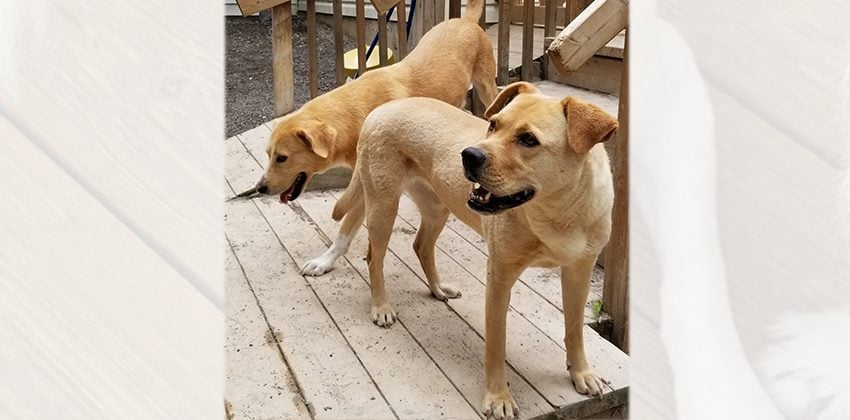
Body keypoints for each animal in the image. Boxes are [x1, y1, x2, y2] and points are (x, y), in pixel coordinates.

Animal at [250, 0, 496, 278]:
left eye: (281, 158)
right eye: (268, 155)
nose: (260, 188)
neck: (354, 115)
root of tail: (465, 20)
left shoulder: (366, 184)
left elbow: (345, 228)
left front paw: (324, 261)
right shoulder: (364, 180)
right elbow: (345, 230)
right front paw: (324, 262)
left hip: (487, 87)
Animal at [334, 81, 620, 416]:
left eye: (528, 139)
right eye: (493, 124)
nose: (468, 155)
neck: (558, 213)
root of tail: (382, 108)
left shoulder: (579, 272)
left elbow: (575, 329)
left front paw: (581, 373)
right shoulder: (499, 277)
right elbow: (496, 343)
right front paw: (498, 397)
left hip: (436, 207)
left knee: (421, 245)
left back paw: (437, 288)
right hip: (383, 206)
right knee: (373, 257)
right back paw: (381, 307)